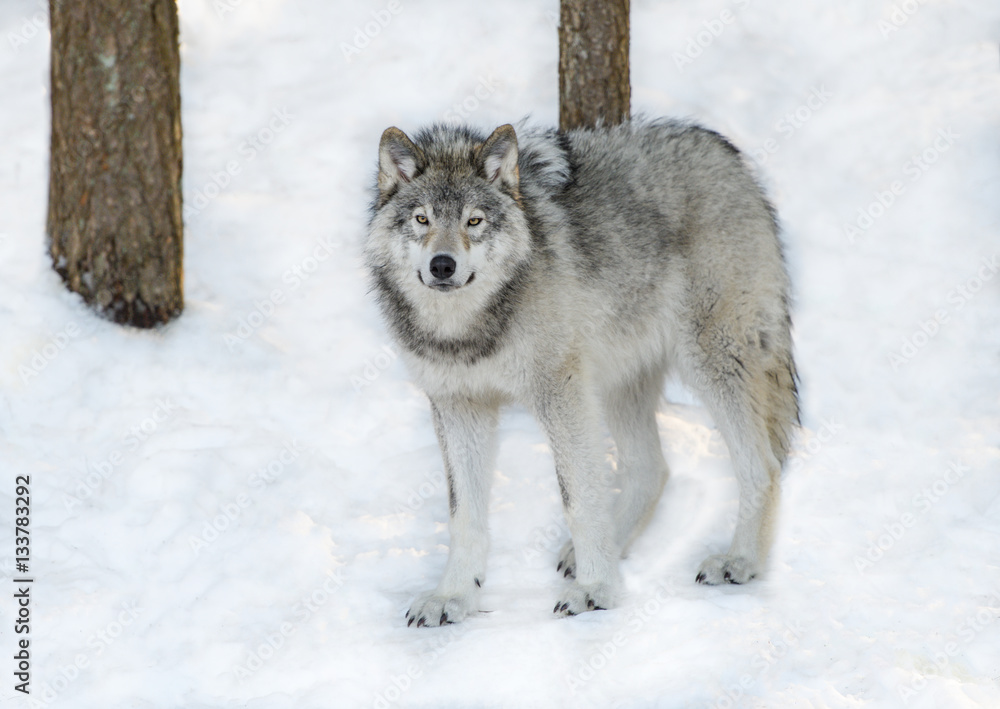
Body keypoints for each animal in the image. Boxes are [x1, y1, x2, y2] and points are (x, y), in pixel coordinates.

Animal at [365, 118, 798, 627]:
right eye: (422, 219)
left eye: (474, 221)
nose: (443, 265)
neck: (467, 331)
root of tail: (727, 153)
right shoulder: (459, 407)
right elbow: (463, 516)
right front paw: (453, 597)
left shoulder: (561, 393)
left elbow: (580, 499)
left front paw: (596, 590)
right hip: (618, 382)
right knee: (651, 468)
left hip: (712, 362)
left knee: (762, 466)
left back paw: (740, 561)